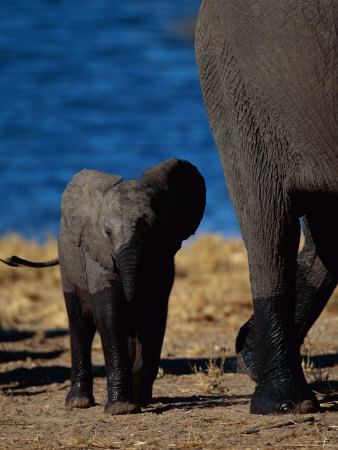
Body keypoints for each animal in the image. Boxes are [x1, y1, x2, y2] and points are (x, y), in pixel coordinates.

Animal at [2, 158, 205, 414]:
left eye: (155, 229)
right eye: (107, 232)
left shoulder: (164, 257)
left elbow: (153, 313)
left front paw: (138, 399)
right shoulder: (97, 254)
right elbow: (110, 312)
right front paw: (122, 408)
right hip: (68, 261)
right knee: (80, 322)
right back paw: (78, 403)